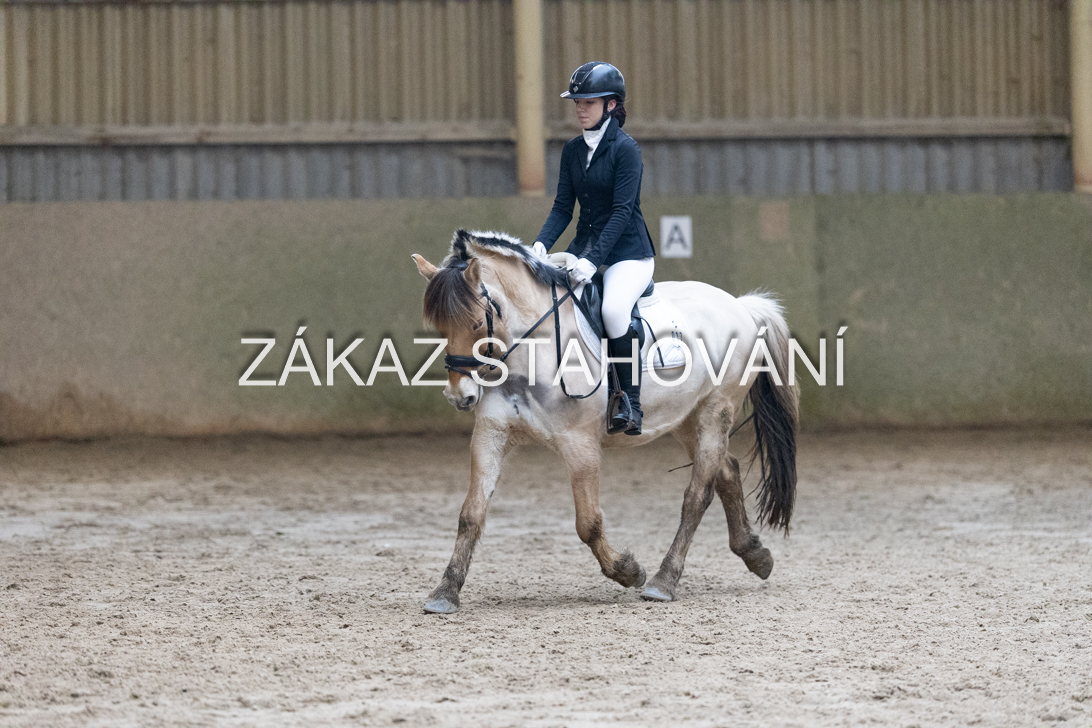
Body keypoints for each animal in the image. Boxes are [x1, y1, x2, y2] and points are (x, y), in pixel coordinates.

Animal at [410, 229, 798, 613]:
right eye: (440, 328)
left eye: (477, 323)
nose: (459, 396)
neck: (530, 351)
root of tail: (741, 306)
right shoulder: (491, 433)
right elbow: (471, 514)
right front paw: (445, 591)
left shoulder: (580, 443)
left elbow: (588, 523)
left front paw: (628, 571)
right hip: (687, 419)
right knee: (727, 470)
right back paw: (755, 555)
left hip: (715, 409)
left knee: (697, 494)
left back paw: (663, 582)